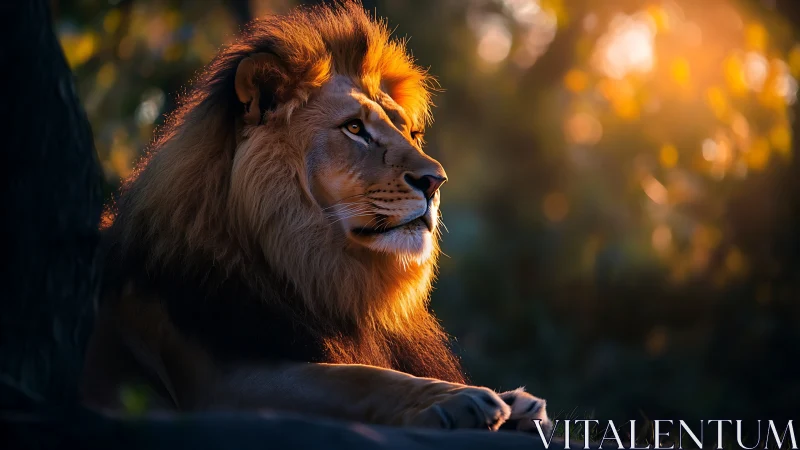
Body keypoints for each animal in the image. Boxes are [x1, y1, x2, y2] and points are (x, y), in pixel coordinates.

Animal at [81, 1, 551, 432]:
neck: (312, 270)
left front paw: (517, 404)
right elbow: (359, 378)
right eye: (355, 129)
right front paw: (462, 399)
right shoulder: (218, 381)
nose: (435, 181)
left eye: (411, 133)